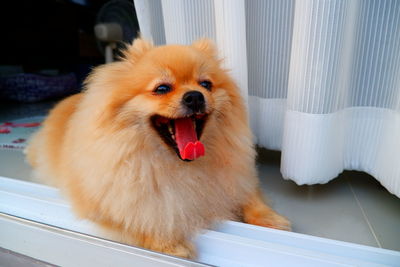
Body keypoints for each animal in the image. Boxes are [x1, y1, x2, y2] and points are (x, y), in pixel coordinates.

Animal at [27, 38, 290, 260]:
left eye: (206, 84)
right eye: (162, 89)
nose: (195, 96)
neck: (179, 166)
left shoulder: (238, 177)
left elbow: (251, 197)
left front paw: (270, 218)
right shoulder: (105, 202)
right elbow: (137, 221)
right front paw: (169, 244)